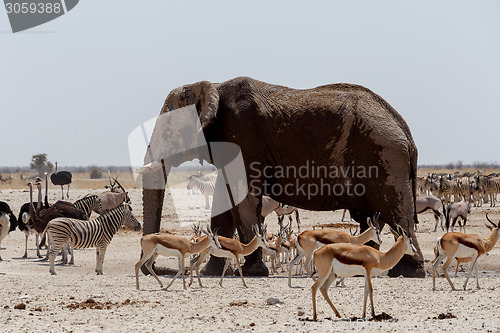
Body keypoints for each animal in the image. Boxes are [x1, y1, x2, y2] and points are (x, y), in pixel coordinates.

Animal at [138, 76, 426, 276]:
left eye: (168, 131)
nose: (153, 267)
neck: (213, 86)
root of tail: (407, 132)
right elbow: (225, 203)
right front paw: (214, 272)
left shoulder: (243, 137)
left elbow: (243, 199)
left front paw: (254, 272)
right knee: (371, 218)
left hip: (386, 160)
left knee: (397, 215)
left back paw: (407, 272)